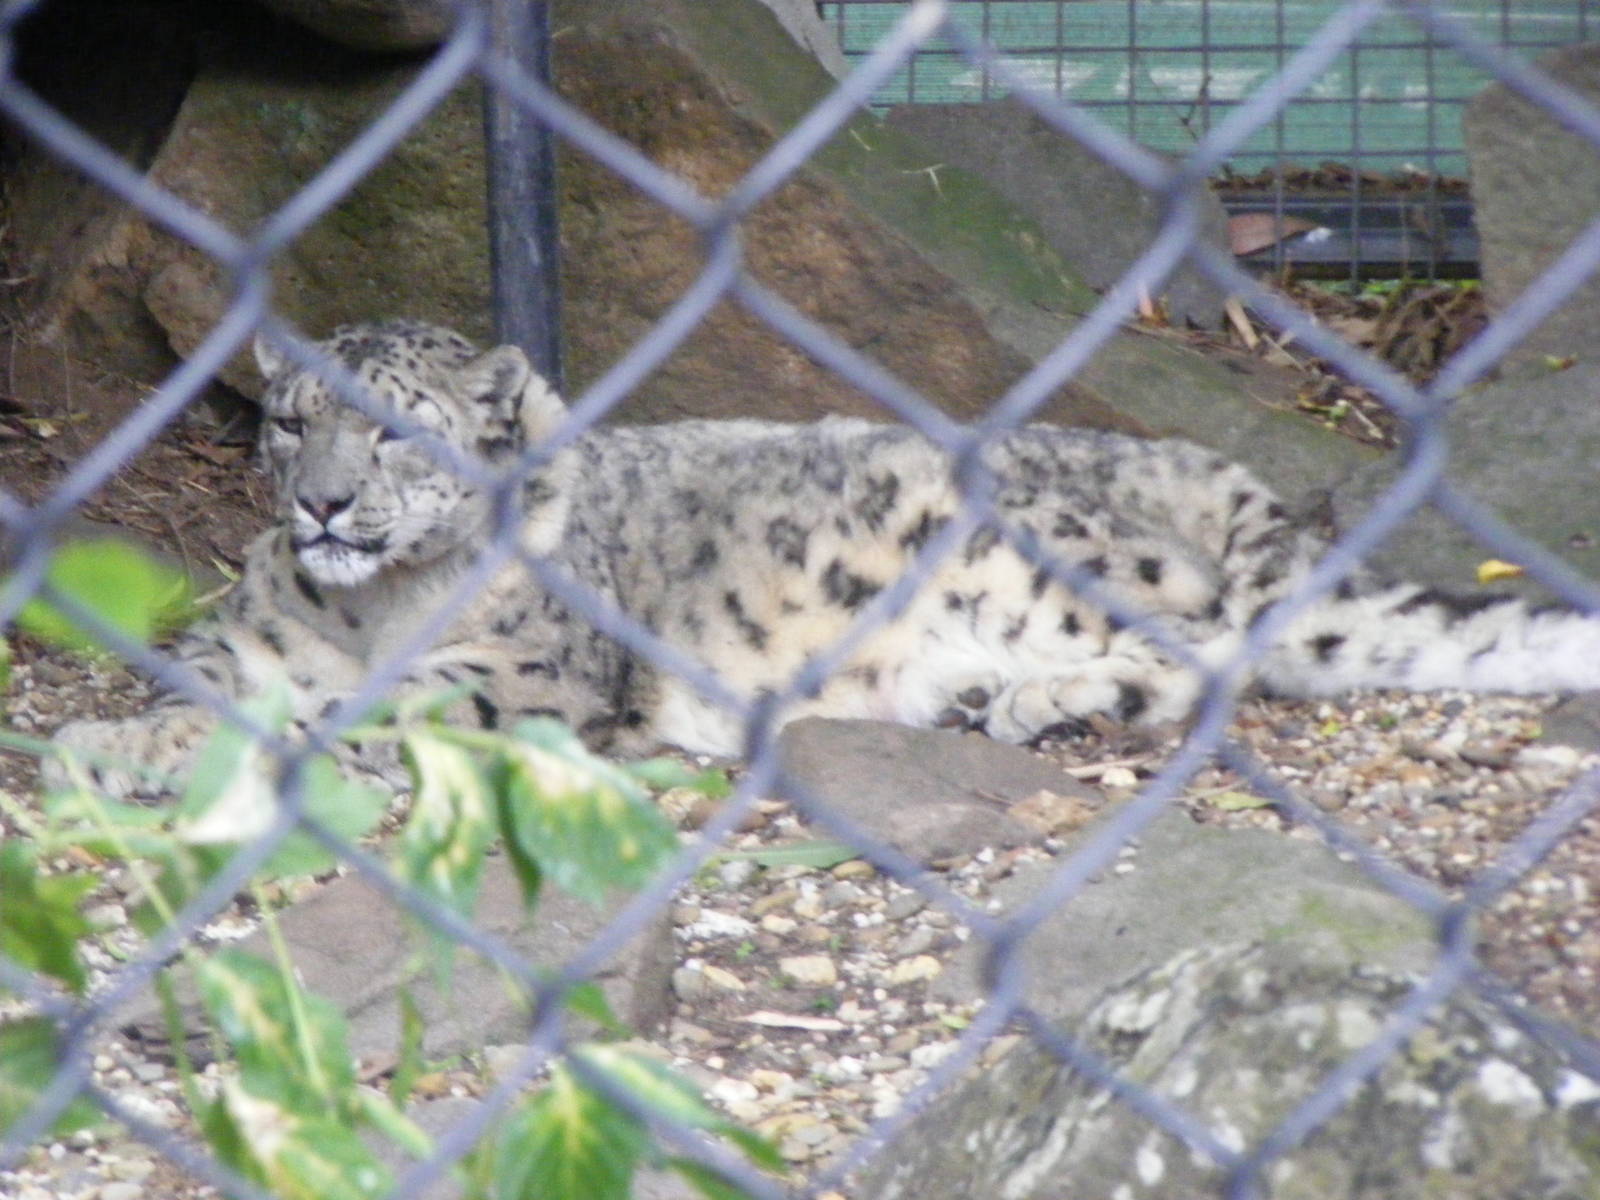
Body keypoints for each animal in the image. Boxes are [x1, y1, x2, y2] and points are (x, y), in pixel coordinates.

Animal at [48, 319, 1600, 797]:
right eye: (290, 422)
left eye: (394, 433)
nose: (320, 508)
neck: (369, 615)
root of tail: (1191, 469)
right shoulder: (241, 640)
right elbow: (199, 686)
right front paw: (105, 749)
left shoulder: (511, 687)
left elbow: (351, 721)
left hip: (1036, 560)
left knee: (1216, 645)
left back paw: (1036, 700)